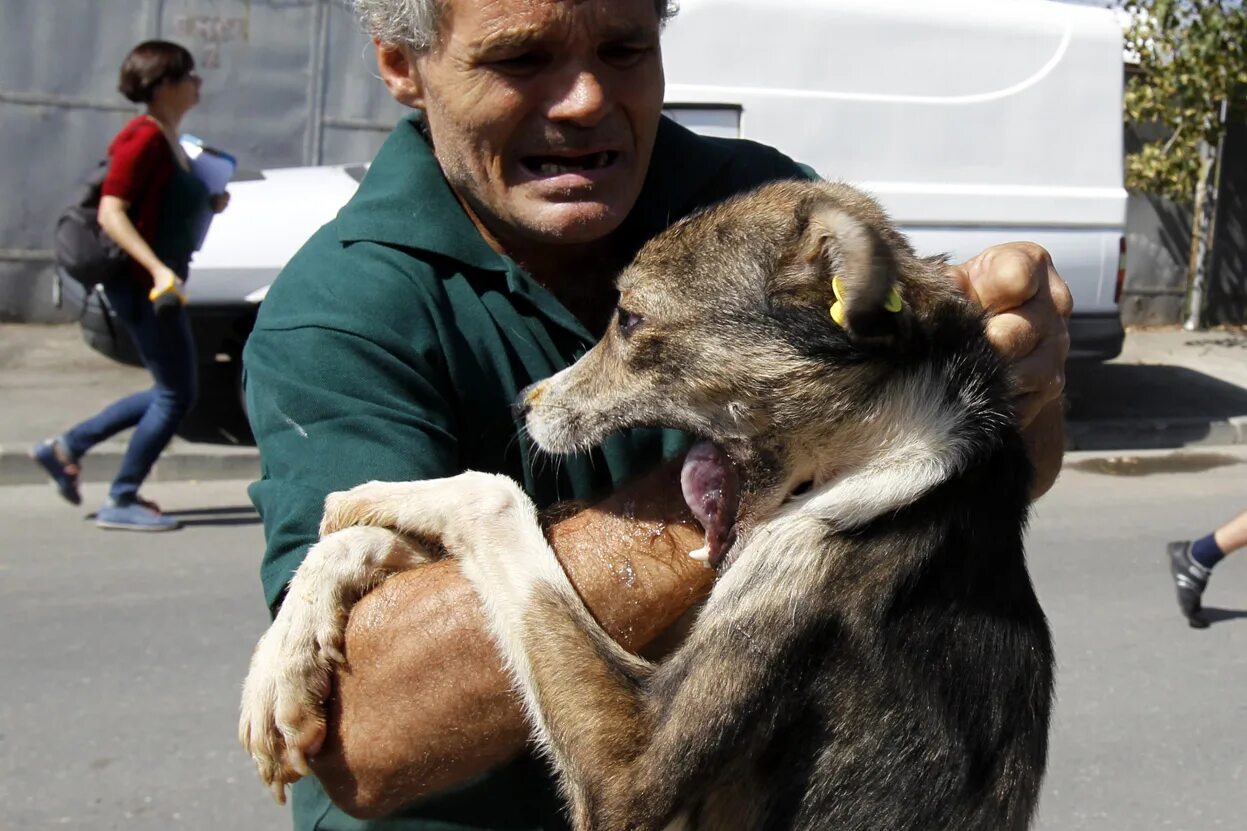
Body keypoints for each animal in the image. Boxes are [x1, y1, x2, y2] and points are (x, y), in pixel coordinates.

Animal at [240, 180, 1052, 828]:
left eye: (628, 318)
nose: (522, 405)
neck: (897, 446)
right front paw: (290, 643)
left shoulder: (632, 770)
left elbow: (495, 495)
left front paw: (385, 496)